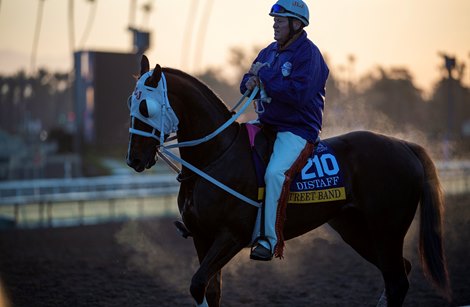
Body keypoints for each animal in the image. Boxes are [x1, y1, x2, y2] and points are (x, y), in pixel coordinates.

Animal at [126, 56, 450, 307]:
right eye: (130, 102)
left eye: (146, 108)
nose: (134, 159)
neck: (216, 156)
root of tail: (404, 145)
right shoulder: (202, 237)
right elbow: (209, 290)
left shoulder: (231, 236)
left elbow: (198, 284)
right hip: (356, 230)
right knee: (398, 273)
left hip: (387, 230)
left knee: (397, 280)